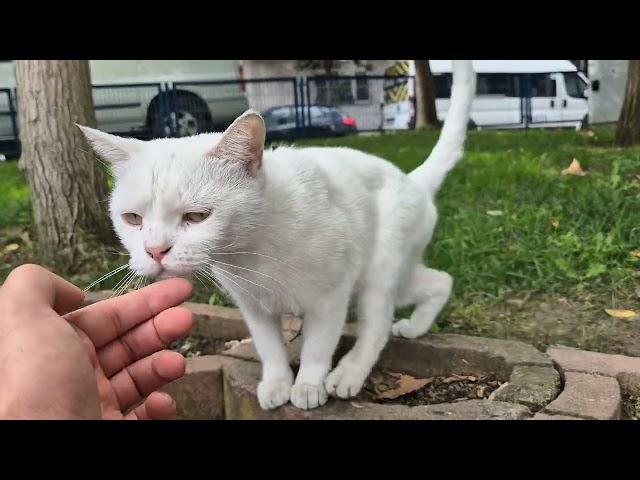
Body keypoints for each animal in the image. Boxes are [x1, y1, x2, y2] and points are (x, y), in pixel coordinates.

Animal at [79, 60, 476, 410]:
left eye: (197, 216)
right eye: (132, 219)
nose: (155, 250)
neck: (252, 250)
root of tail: (412, 181)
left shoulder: (330, 296)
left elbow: (318, 347)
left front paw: (308, 387)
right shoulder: (252, 306)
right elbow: (269, 348)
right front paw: (277, 383)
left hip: (378, 273)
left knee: (378, 324)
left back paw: (348, 373)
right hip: (396, 274)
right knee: (440, 280)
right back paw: (416, 326)